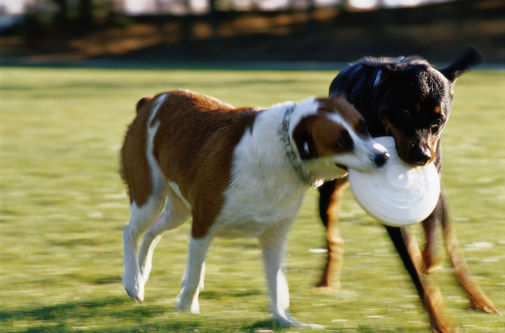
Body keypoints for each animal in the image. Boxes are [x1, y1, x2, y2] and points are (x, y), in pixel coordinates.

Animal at [120, 89, 388, 326]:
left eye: (363, 128)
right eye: (342, 142)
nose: (383, 156)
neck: (285, 149)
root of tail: (150, 101)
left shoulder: (274, 238)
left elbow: (277, 285)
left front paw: (285, 321)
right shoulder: (202, 228)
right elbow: (195, 276)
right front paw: (185, 309)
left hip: (179, 212)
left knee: (152, 233)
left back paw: (141, 271)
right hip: (150, 197)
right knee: (131, 231)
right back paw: (133, 283)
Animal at [316, 47, 498, 332]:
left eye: (438, 119)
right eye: (405, 111)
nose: (421, 156)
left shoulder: (433, 183)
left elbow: (431, 239)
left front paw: (429, 261)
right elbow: (415, 271)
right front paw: (441, 322)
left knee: (454, 249)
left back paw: (479, 299)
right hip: (329, 188)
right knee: (333, 234)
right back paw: (326, 280)